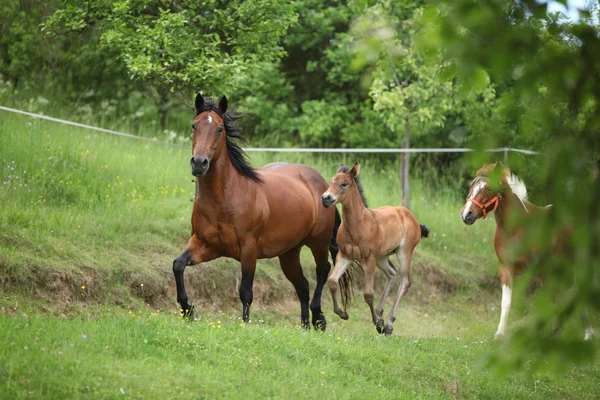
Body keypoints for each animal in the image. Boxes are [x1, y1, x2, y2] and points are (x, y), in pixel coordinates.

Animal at [171, 94, 352, 332]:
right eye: (194, 125)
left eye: (219, 129)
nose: (199, 163)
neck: (225, 199)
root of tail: (324, 186)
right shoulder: (204, 244)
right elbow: (178, 265)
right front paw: (188, 310)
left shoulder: (249, 250)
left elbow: (246, 291)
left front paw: (245, 325)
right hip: (289, 252)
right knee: (302, 285)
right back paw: (305, 325)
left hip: (318, 242)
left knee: (322, 271)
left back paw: (318, 318)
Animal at [322, 164, 428, 336]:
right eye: (331, 181)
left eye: (344, 184)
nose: (326, 198)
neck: (358, 225)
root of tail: (412, 218)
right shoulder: (344, 256)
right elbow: (332, 281)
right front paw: (343, 313)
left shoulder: (369, 260)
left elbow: (368, 294)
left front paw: (378, 324)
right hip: (382, 257)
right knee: (391, 272)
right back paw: (380, 312)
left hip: (404, 252)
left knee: (405, 282)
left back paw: (388, 324)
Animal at [460, 162, 596, 340]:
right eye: (471, 186)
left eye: (488, 188)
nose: (466, 215)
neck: (517, 229)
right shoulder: (506, 269)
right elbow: (506, 302)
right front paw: (500, 333)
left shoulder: (544, 270)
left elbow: (550, 300)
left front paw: (554, 332)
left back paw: (587, 333)